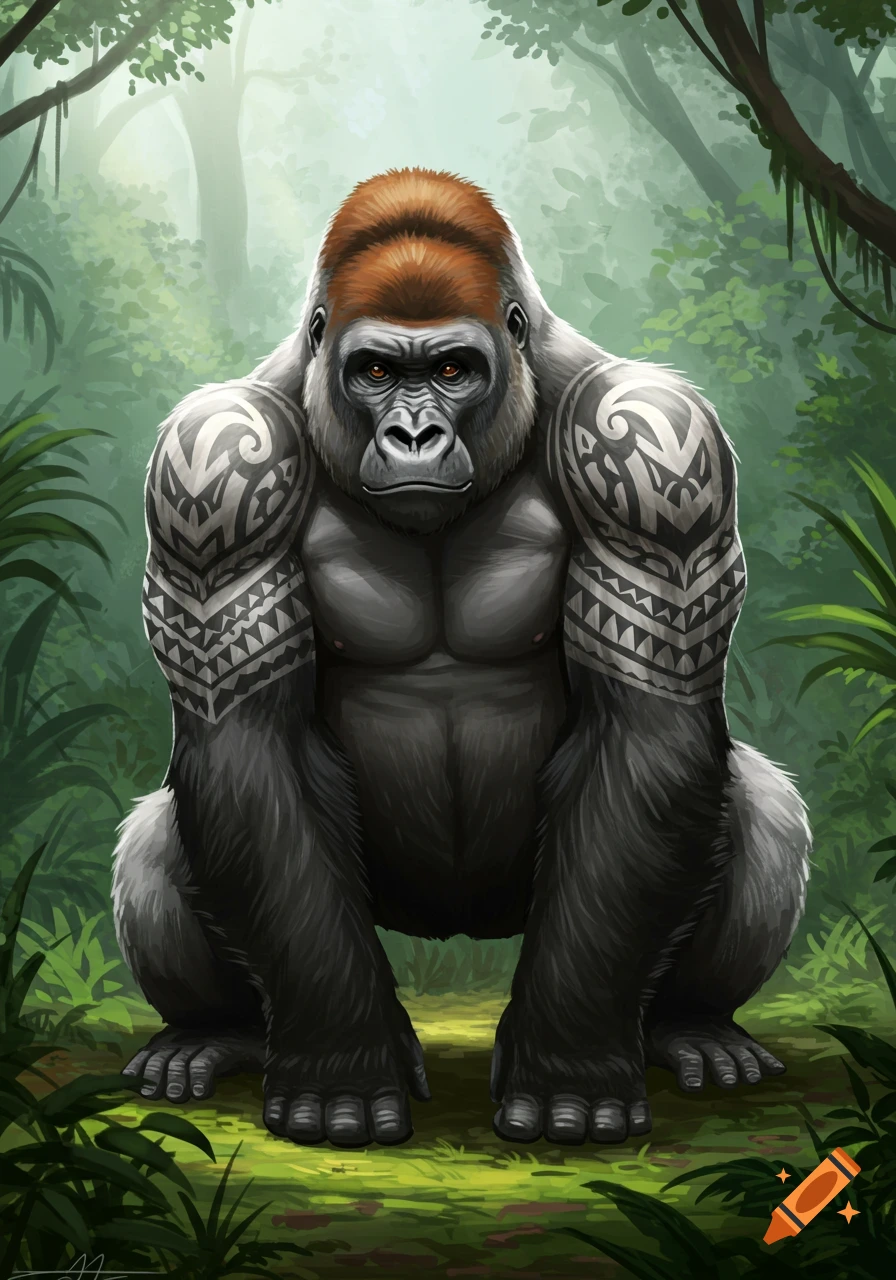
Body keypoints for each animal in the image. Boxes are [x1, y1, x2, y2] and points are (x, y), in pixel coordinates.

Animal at [112, 168, 810, 1149]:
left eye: (451, 369)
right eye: (374, 371)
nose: (414, 437)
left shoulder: (661, 448)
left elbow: (647, 729)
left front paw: (568, 1063)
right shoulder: (208, 467)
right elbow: (247, 748)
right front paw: (339, 1060)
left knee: (759, 800)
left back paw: (690, 1025)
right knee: (160, 830)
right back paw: (218, 1035)